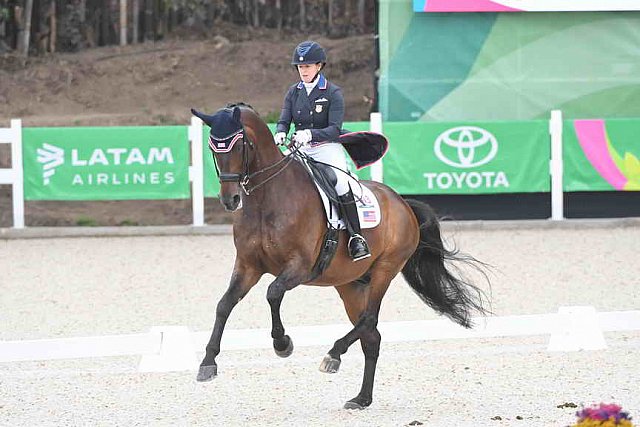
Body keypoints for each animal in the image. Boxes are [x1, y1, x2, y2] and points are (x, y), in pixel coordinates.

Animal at [190, 103, 490, 412]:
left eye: (240, 146)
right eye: (213, 148)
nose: (230, 200)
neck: (266, 199)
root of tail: (403, 203)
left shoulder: (298, 267)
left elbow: (272, 293)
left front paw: (282, 344)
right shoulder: (248, 266)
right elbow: (224, 305)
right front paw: (208, 363)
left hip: (385, 269)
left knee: (369, 318)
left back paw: (333, 355)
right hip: (350, 284)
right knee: (372, 336)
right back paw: (361, 398)